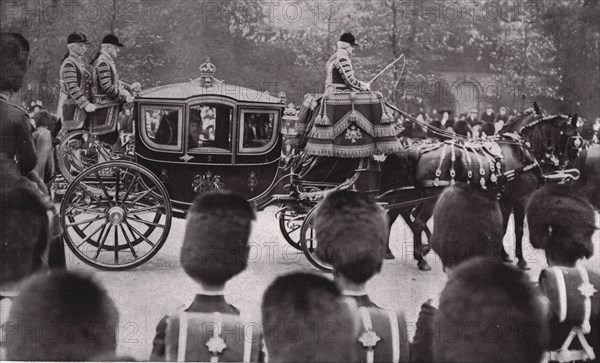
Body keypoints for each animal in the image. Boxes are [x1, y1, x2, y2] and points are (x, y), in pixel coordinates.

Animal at [380, 109, 580, 272]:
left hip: (409, 192)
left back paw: (400, 250)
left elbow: (503, 227)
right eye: (572, 135)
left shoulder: (505, 199)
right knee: (416, 221)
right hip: (428, 198)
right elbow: (518, 230)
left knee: (399, 214)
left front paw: (502, 255)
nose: (571, 159)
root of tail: (415, 150)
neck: (520, 151)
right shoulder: (520, 199)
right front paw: (521, 260)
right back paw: (421, 259)